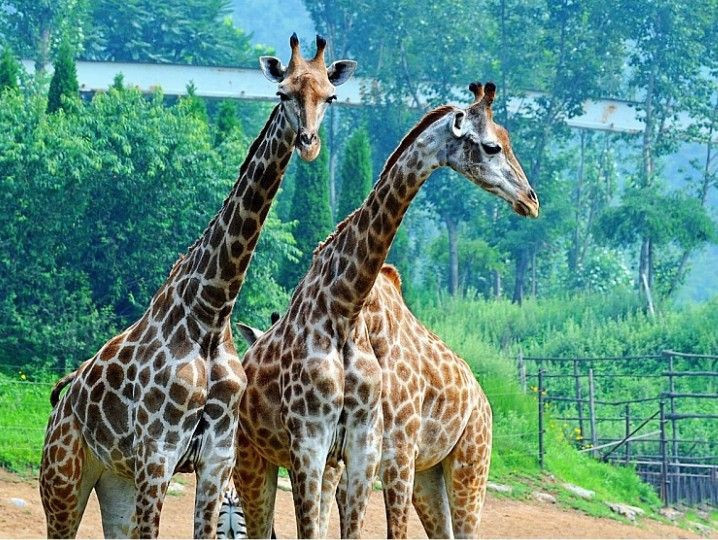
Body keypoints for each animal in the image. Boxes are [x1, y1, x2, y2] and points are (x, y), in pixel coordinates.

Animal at [36, 34, 358, 540]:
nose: (308, 143)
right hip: (63, 477)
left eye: (330, 97)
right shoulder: (157, 455)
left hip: (114, 479)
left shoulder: (215, 459)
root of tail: (60, 400)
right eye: (282, 92)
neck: (210, 311)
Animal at [236, 81, 540, 540]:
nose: (531, 199)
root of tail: (484, 400)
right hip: (254, 457)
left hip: (467, 461)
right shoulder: (321, 447)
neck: (348, 309)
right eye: (491, 146)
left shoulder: (371, 450)